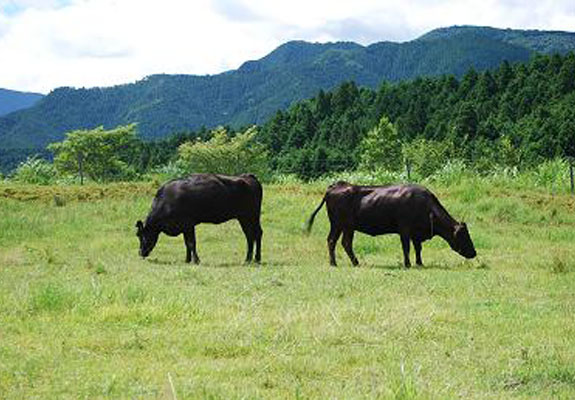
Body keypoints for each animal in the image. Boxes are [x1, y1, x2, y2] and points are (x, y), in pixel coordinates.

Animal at [135, 173, 264, 264]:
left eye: (142, 236)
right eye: (138, 235)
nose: (140, 253)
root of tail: (247, 176)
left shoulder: (188, 224)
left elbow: (191, 243)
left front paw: (196, 260)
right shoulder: (183, 226)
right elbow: (186, 243)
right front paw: (187, 260)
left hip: (250, 216)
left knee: (255, 234)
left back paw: (252, 259)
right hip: (245, 218)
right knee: (251, 235)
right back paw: (252, 259)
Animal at [306, 183, 476, 268]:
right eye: (464, 236)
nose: (474, 253)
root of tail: (335, 186)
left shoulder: (416, 232)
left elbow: (418, 248)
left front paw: (419, 263)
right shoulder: (405, 229)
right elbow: (406, 247)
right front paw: (408, 264)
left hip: (342, 226)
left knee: (337, 241)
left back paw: (346, 263)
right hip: (342, 225)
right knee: (340, 242)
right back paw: (342, 263)